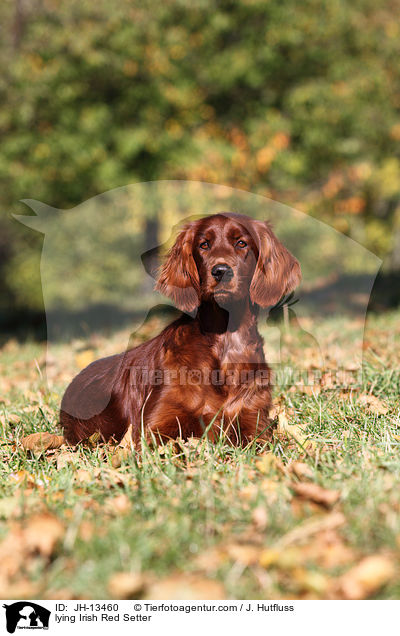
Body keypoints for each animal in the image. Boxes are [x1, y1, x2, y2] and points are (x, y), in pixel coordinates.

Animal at [61, 214, 300, 448]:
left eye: (241, 243)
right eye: (204, 244)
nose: (221, 271)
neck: (225, 343)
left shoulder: (253, 420)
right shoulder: (156, 426)